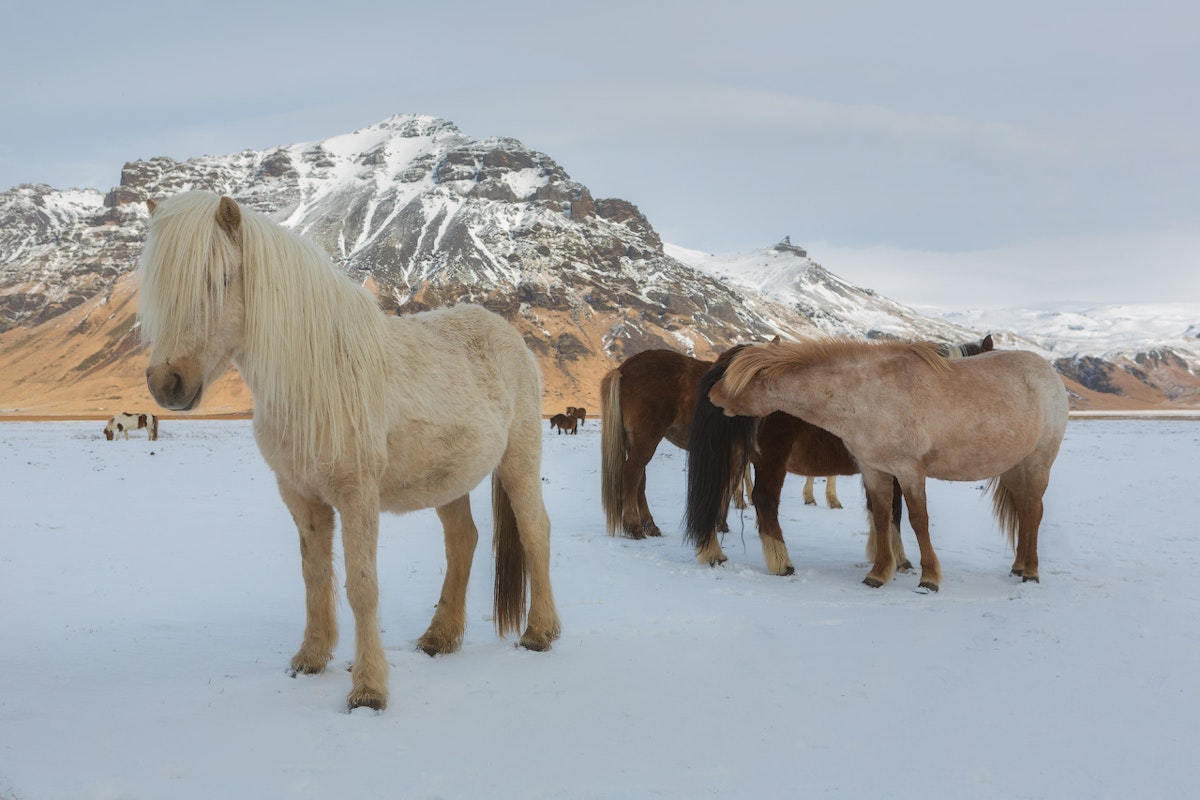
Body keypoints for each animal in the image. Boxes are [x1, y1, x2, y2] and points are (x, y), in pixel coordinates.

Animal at [137, 190, 561, 710]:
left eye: (220, 279)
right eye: (158, 286)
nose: (166, 384)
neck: (317, 376)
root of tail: (509, 336)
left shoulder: (358, 495)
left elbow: (361, 586)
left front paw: (369, 689)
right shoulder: (302, 497)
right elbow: (314, 575)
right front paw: (310, 658)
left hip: (519, 461)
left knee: (535, 531)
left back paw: (539, 633)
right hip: (448, 481)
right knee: (463, 541)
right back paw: (438, 638)